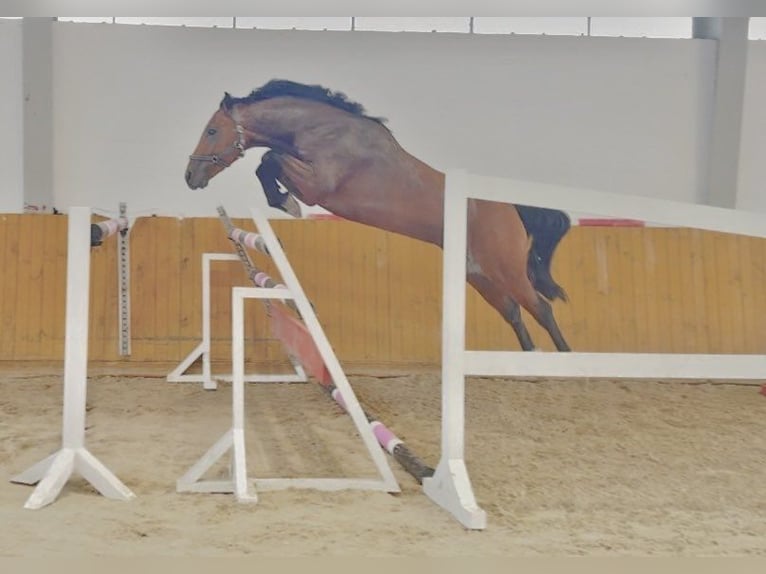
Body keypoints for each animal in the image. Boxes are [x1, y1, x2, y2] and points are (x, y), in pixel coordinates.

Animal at [185, 79, 571, 351]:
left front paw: (286, 203)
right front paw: (282, 200)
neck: (321, 130)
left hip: (506, 271)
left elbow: (270, 160)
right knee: (515, 313)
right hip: (480, 276)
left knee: (542, 310)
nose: (190, 177)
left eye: (212, 131)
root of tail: (510, 208)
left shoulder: (317, 185)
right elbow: (268, 161)